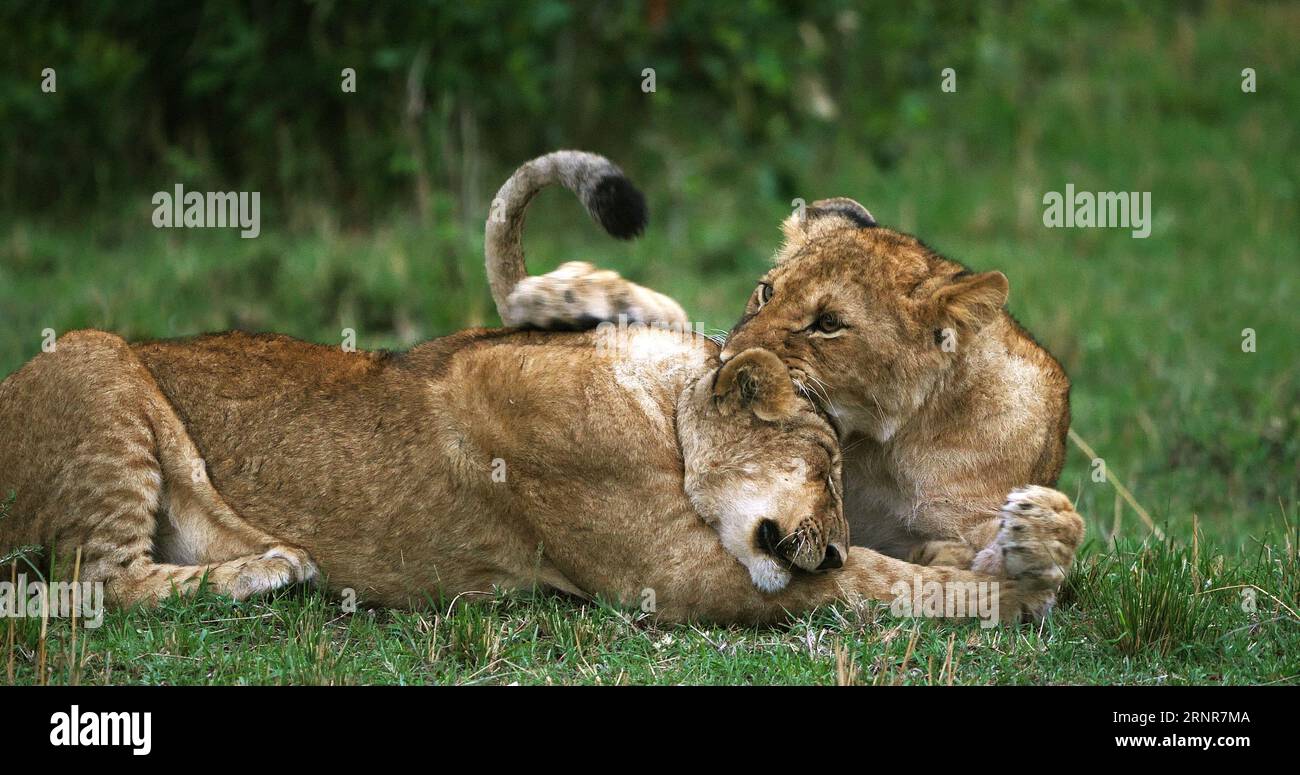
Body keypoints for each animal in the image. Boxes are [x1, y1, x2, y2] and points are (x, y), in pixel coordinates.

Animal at [487, 152, 1085, 615]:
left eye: (828, 323)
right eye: (767, 291)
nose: (726, 359)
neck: (892, 445)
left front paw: (1041, 535)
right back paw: (578, 297)